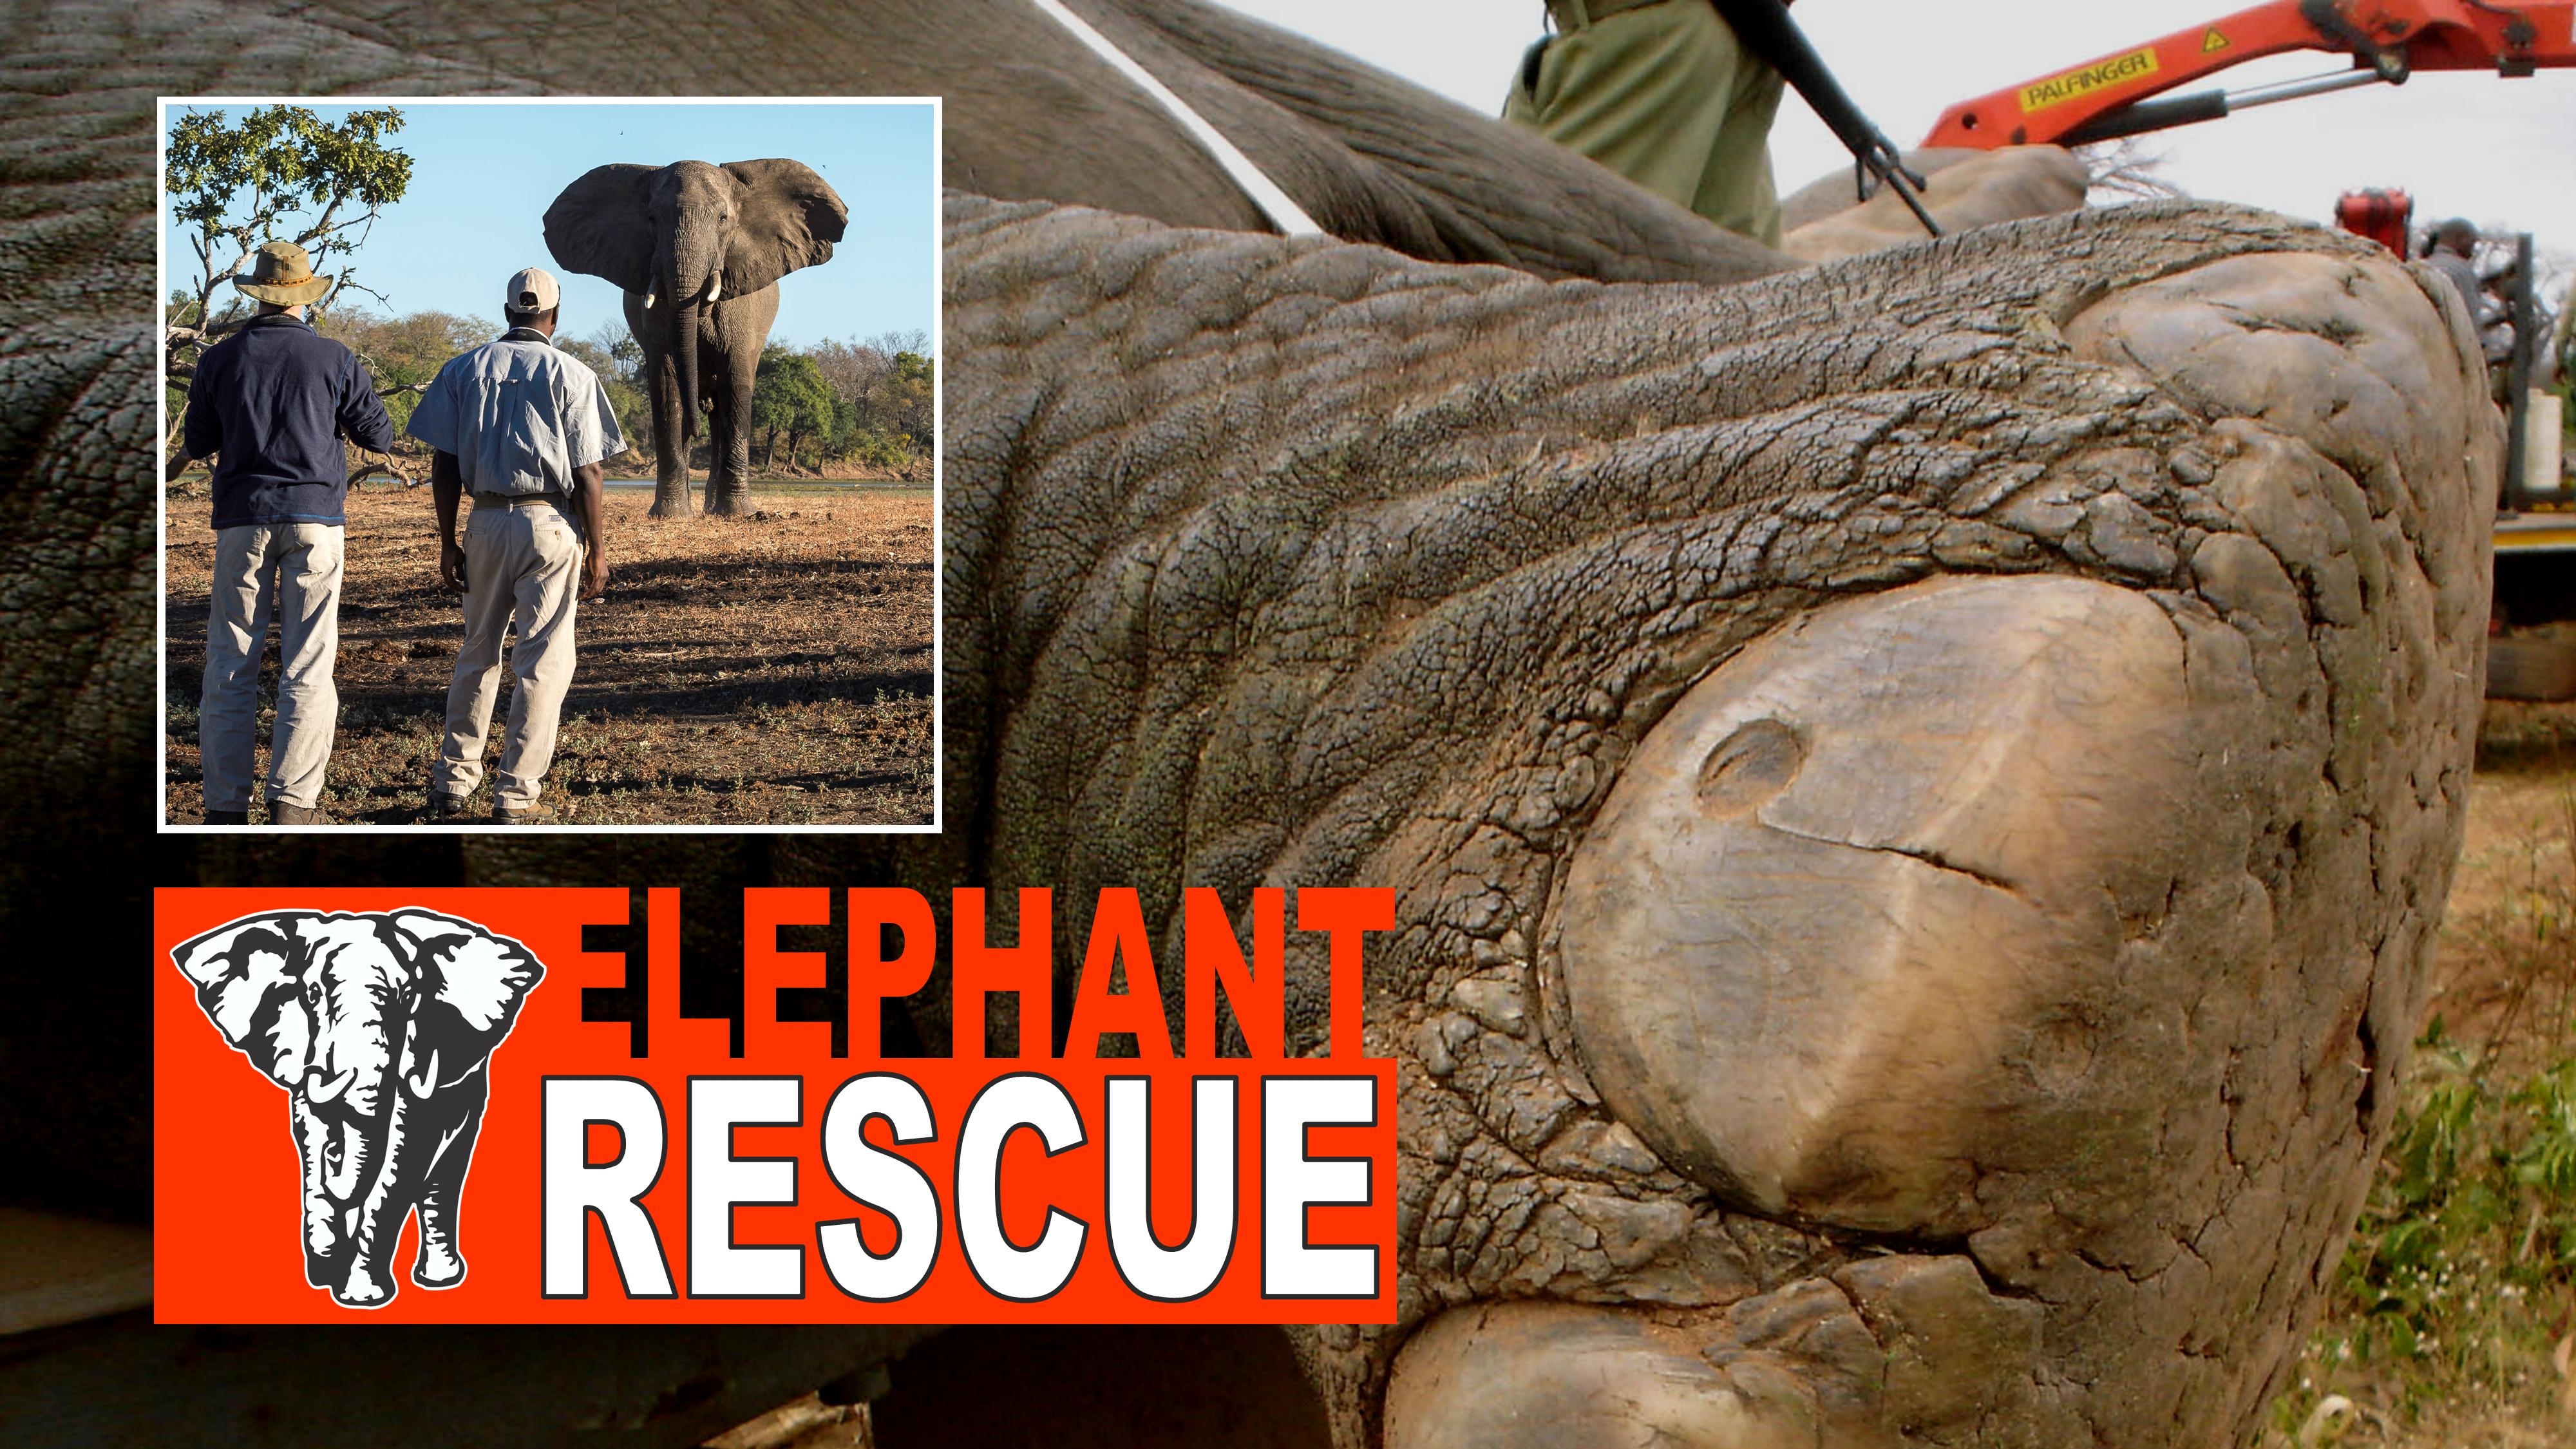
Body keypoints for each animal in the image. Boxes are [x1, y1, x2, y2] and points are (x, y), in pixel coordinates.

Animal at [171, 908, 545, 1308]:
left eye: (409, 996)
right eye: (313, 994)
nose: (335, 1153)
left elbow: (398, 1167)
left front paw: (360, 1298)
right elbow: (311, 1145)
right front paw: (325, 1270)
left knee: (441, 1178)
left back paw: (438, 1281)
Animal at [542, 158, 849, 517]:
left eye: (723, 219)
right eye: (652, 220)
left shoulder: (741, 309)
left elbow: (737, 384)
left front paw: (739, 515)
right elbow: (666, 386)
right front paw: (670, 515)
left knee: (722, 413)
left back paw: (714, 507)